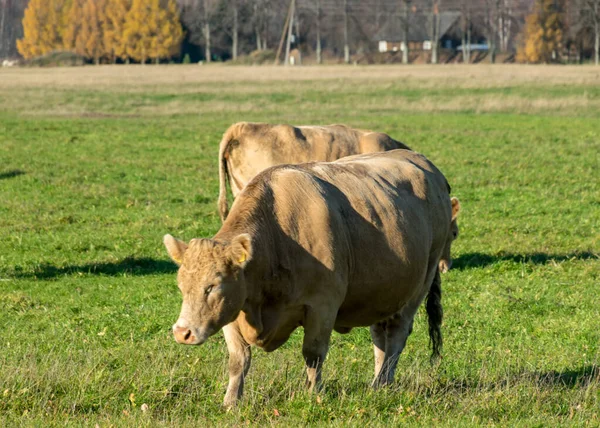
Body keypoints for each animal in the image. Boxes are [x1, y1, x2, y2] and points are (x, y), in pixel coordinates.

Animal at [164, 149, 460, 406]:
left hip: (419, 284)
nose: (182, 332)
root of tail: (420, 160)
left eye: (213, 286)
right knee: (380, 337)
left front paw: (312, 394)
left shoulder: (322, 306)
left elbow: (313, 354)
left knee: (397, 335)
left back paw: (382, 382)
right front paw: (231, 401)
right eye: (181, 286)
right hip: (383, 292)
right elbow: (238, 360)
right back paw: (378, 381)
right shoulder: (232, 311)